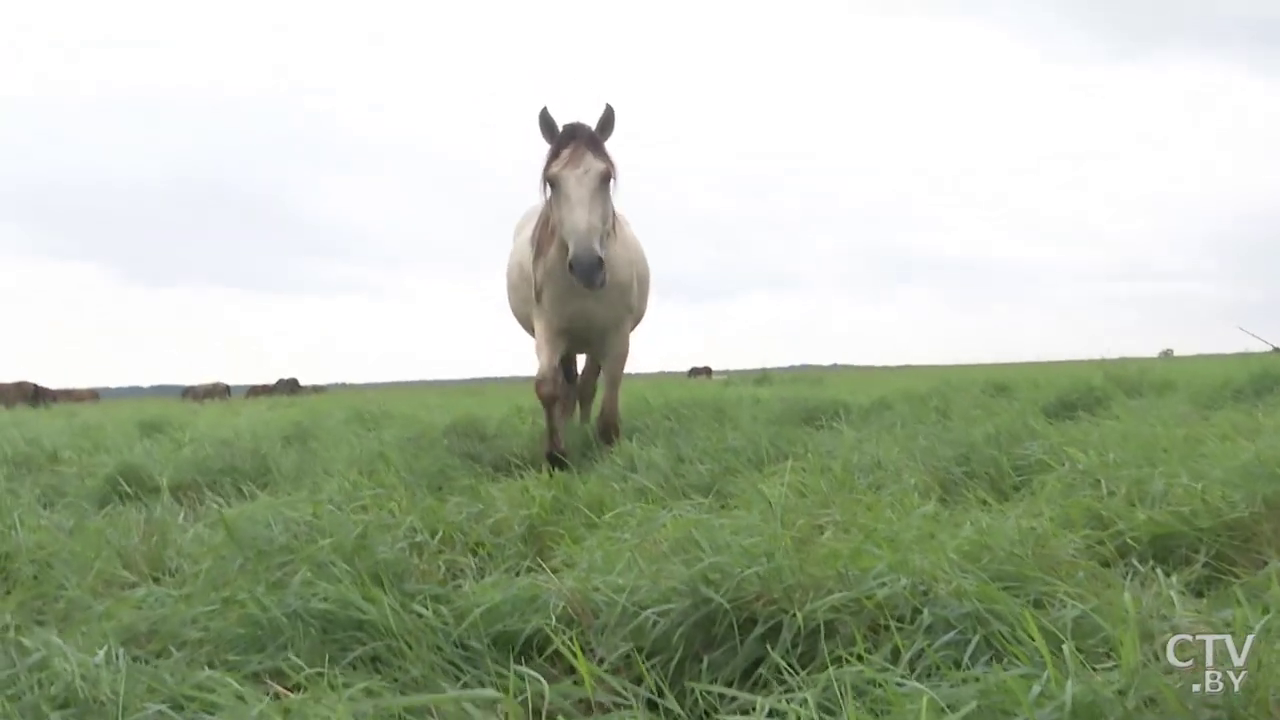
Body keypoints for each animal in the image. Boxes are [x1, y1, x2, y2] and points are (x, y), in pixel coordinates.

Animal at [504, 103, 650, 468]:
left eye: (606, 177)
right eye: (552, 181)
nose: (586, 266)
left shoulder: (615, 334)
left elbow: (608, 393)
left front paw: (608, 446)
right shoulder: (550, 330)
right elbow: (547, 387)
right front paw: (556, 454)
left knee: (586, 387)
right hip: (570, 342)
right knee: (569, 388)